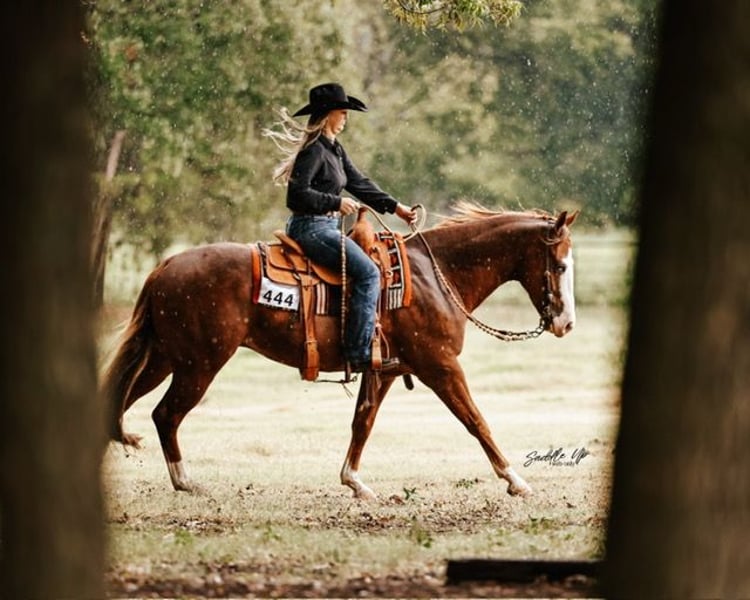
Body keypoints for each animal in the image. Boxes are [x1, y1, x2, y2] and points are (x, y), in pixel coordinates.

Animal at [103, 203, 578, 498]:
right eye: (559, 265)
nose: (566, 323)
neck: (436, 274)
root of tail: (166, 266)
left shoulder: (384, 370)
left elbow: (362, 423)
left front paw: (355, 483)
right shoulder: (440, 366)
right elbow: (476, 421)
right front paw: (516, 480)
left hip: (163, 358)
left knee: (122, 403)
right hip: (198, 364)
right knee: (166, 414)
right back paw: (186, 482)